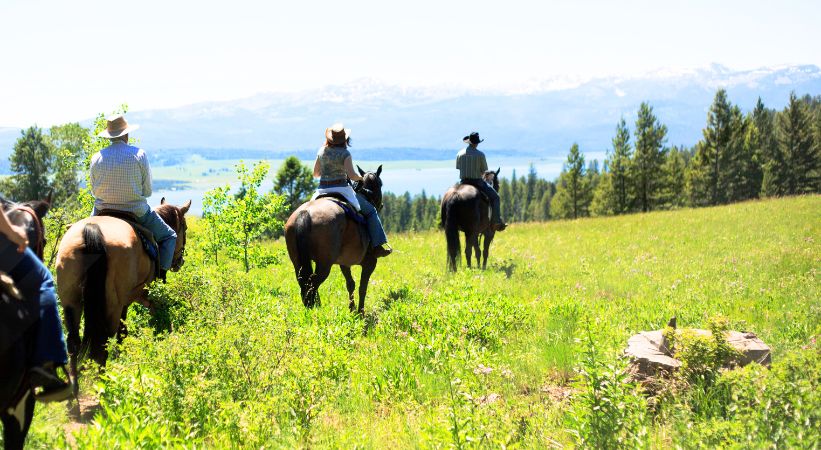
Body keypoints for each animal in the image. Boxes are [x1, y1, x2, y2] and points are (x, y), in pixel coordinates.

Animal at [54, 199, 191, 402]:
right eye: (185, 228)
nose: (179, 261)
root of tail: (92, 231)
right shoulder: (130, 298)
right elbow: (123, 330)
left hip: (70, 301)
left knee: (73, 342)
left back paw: (74, 397)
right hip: (112, 304)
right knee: (103, 340)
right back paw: (101, 386)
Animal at [284, 163, 382, 314]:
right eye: (380, 184)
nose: (381, 205)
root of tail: (304, 214)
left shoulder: (344, 263)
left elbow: (350, 284)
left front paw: (352, 310)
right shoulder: (370, 262)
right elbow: (362, 287)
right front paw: (360, 312)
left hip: (298, 261)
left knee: (304, 283)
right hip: (324, 263)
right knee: (312, 284)